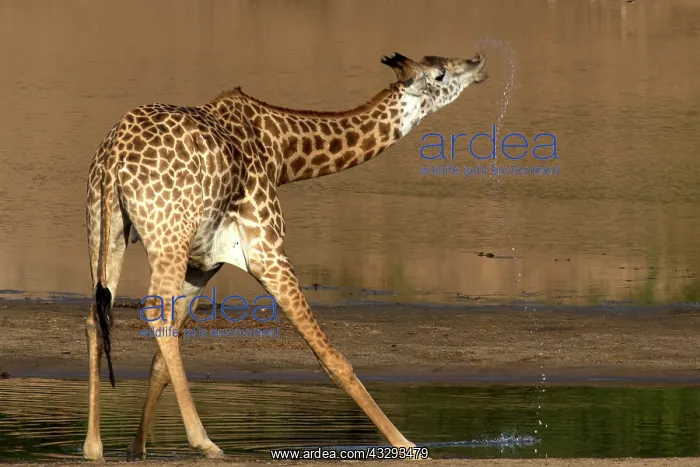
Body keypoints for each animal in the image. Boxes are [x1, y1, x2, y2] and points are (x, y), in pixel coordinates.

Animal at [83, 50, 487, 461]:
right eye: (440, 73)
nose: (478, 64)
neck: (280, 154)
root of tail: (113, 158)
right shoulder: (266, 249)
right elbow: (332, 356)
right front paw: (405, 444)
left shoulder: (204, 265)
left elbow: (160, 363)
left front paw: (136, 448)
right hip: (167, 234)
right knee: (152, 308)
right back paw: (204, 441)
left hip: (105, 230)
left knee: (97, 315)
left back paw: (93, 446)